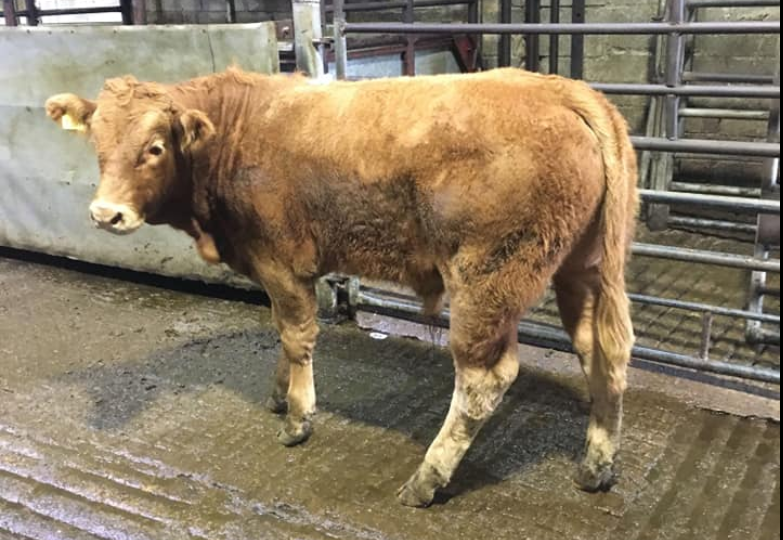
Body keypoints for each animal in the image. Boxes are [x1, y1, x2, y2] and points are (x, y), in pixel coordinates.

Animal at [45, 67, 637, 507]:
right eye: (97, 140)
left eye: (155, 146)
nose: (106, 213)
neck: (235, 133)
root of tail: (561, 89)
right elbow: (283, 334)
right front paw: (280, 394)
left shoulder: (281, 261)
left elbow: (297, 335)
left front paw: (298, 417)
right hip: (582, 268)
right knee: (602, 353)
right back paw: (596, 466)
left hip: (488, 279)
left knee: (483, 379)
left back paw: (427, 479)